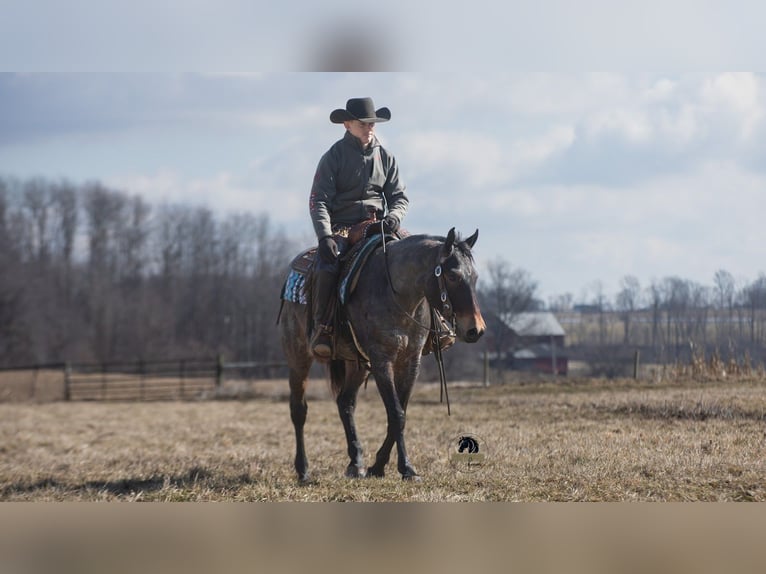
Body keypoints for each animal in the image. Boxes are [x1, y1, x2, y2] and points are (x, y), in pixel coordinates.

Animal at [278, 227, 486, 482]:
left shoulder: (410, 361)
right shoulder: (381, 361)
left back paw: (355, 463)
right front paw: (406, 468)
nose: (476, 330)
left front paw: (378, 466)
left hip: (356, 365)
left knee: (345, 403)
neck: (397, 293)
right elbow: (396, 414)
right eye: (453, 276)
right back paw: (303, 470)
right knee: (299, 409)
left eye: (475, 277)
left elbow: (400, 412)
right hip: (298, 357)